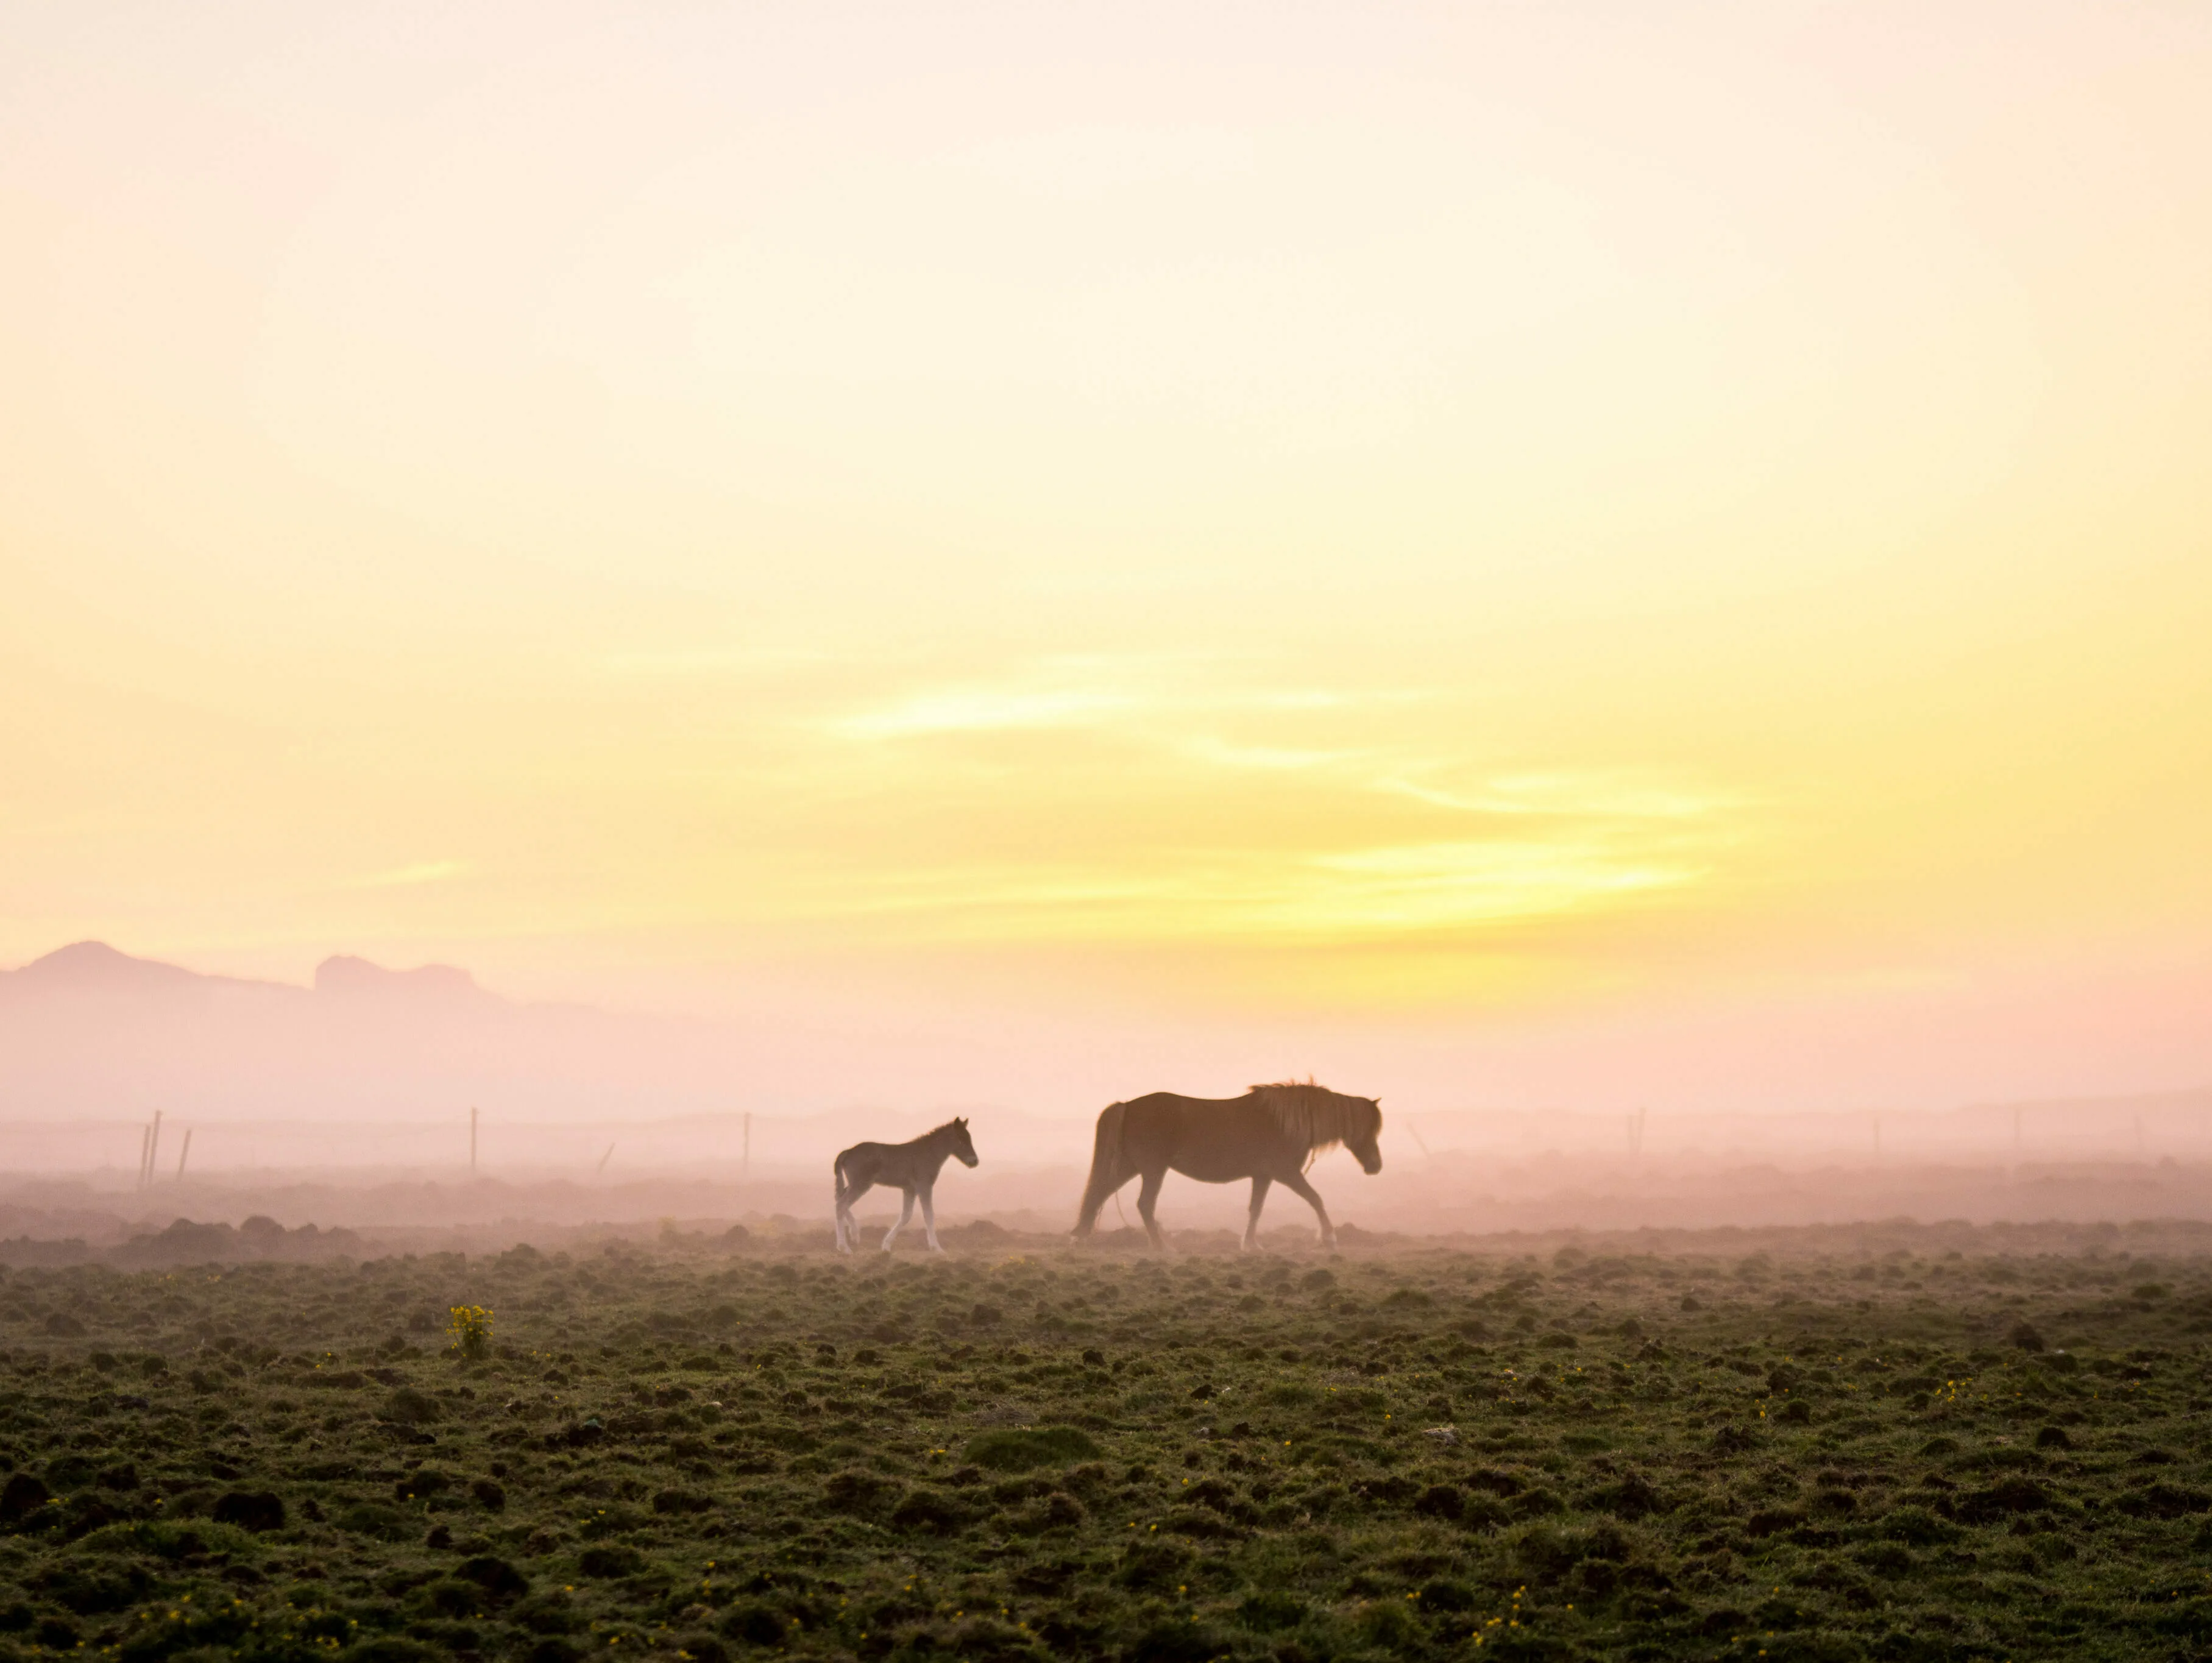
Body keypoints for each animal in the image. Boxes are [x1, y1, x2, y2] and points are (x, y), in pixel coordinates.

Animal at [831, 1119, 982, 1247]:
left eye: (969, 1138)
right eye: (961, 1139)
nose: (974, 1161)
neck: (928, 1154)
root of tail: (847, 1152)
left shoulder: (909, 1189)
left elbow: (906, 1216)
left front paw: (886, 1246)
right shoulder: (924, 1186)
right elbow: (929, 1215)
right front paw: (937, 1249)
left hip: (855, 1184)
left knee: (839, 1199)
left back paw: (855, 1235)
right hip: (861, 1184)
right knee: (841, 1205)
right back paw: (844, 1247)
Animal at [1070, 1092, 1380, 1247]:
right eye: (1368, 1128)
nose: (1375, 1166)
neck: (1287, 1121)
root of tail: (1128, 1106)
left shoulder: (1264, 1176)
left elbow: (1256, 1209)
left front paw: (1251, 1245)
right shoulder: (1287, 1174)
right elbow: (1316, 1199)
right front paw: (1329, 1237)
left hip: (1130, 1167)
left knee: (1099, 1193)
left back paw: (1081, 1235)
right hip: (1153, 1170)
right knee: (1144, 1204)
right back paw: (1162, 1247)